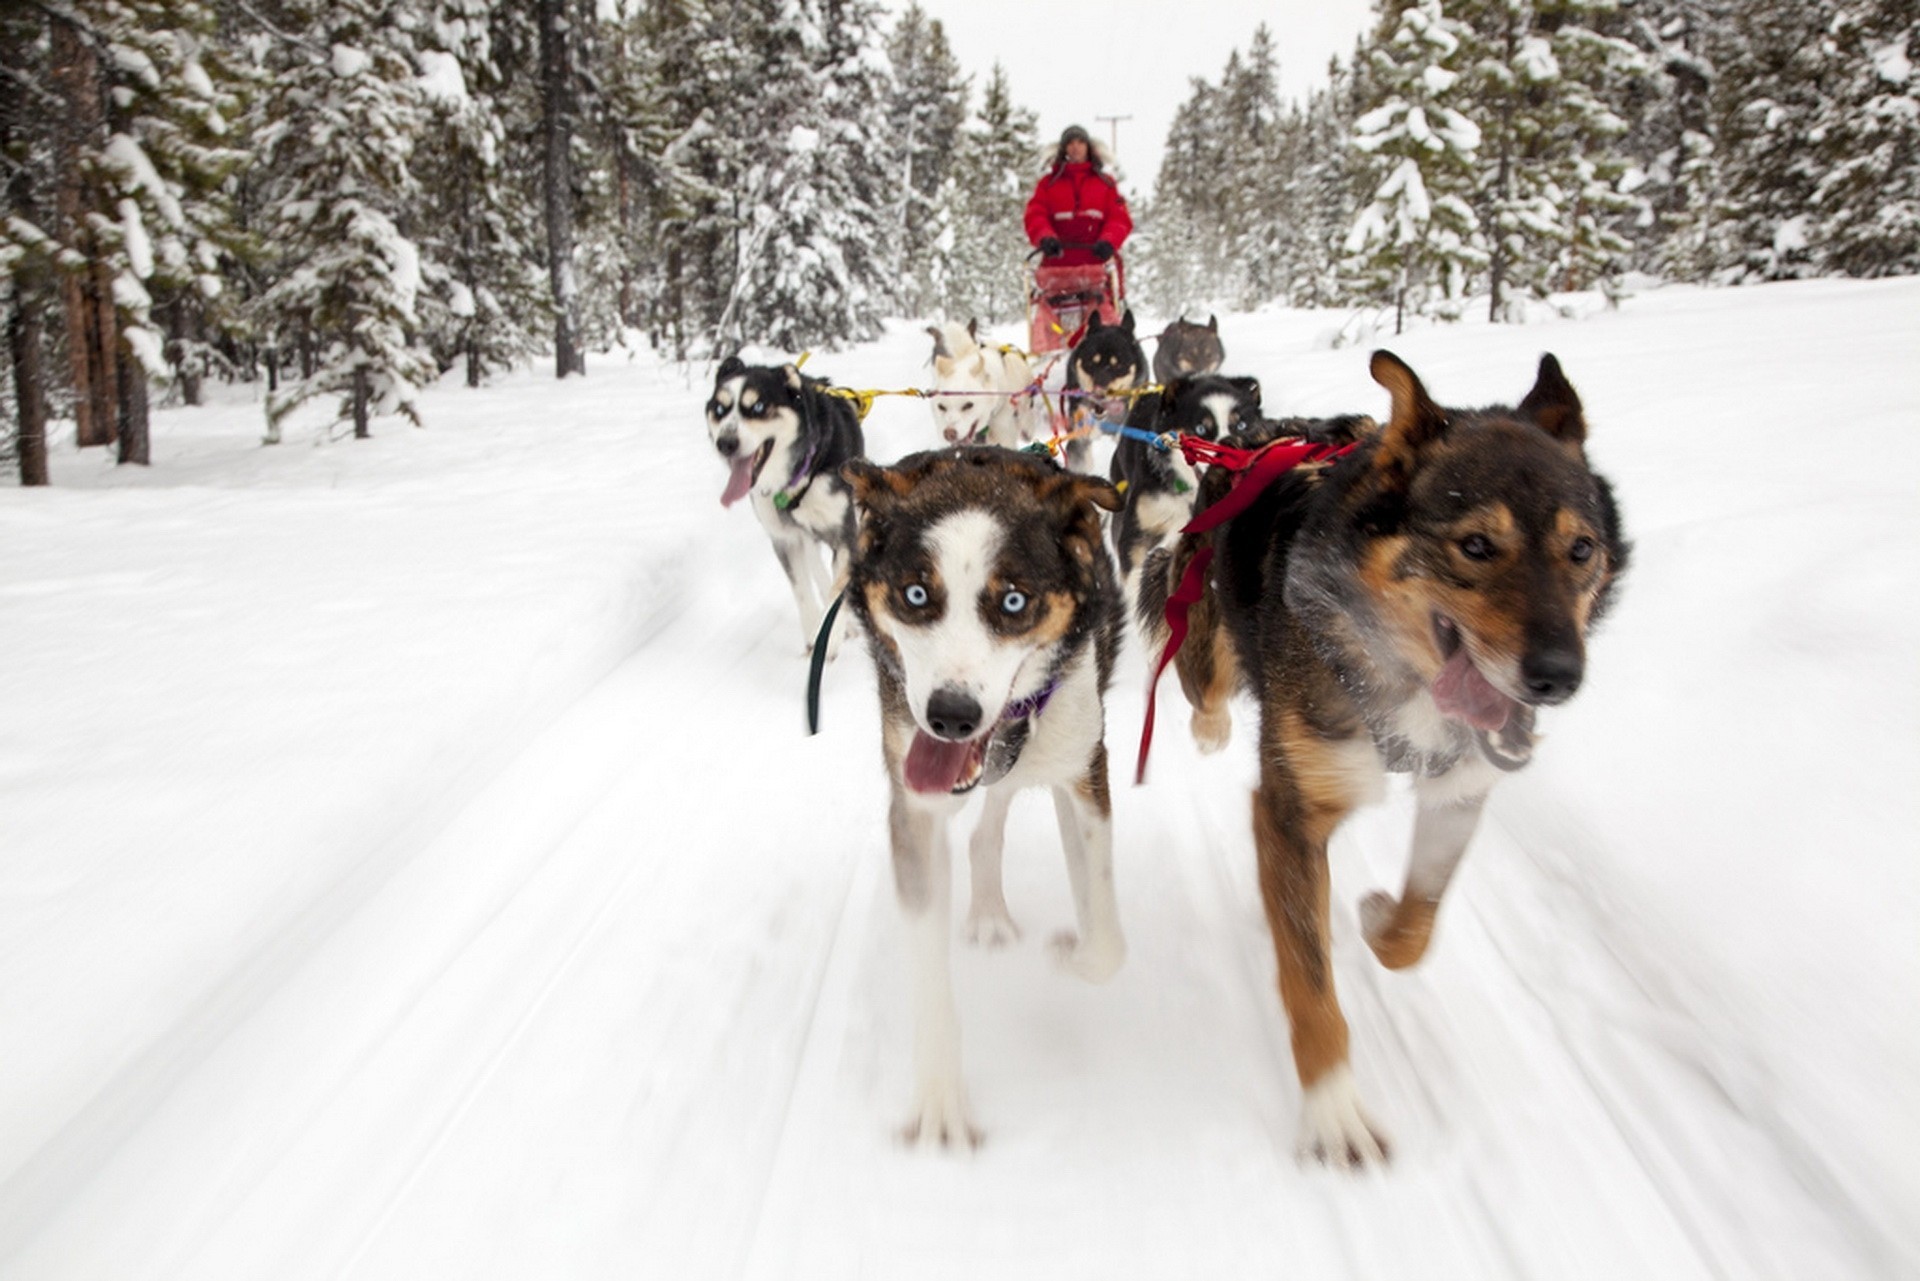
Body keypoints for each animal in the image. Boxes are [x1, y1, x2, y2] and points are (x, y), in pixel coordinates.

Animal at [840, 445, 1121, 1144]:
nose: (952, 716)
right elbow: (930, 973)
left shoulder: (1084, 770)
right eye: (916, 594)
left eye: (1013, 602)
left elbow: (1107, 938)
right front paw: (940, 1100)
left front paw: (1070, 954)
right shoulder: (914, 809)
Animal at [1159, 347, 1628, 1160]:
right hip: (1207, 640)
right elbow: (1311, 983)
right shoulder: (1292, 809)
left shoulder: (1460, 789)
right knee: (1206, 687)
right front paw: (1333, 1109)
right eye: (1475, 545)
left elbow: (1417, 925)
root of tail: (1253, 437)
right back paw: (1208, 729)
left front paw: (1380, 918)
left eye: (1581, 549)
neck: (1398, 672)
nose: (1558, 676)